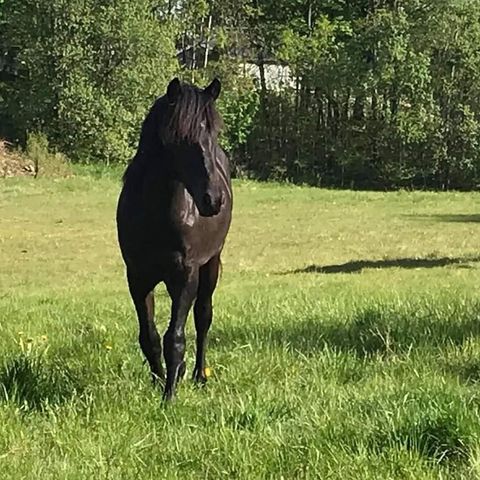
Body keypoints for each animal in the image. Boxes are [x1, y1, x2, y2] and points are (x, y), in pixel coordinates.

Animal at [116, 79, 232, 400]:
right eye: (181, 137)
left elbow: (175, 337)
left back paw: (198, 375)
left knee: (203, 317)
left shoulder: (185, 275)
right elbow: (150, 336)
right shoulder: (138, 277)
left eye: (214, 132)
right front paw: (159, 382)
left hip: (211, 264)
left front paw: (168, 397)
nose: (214, 199)